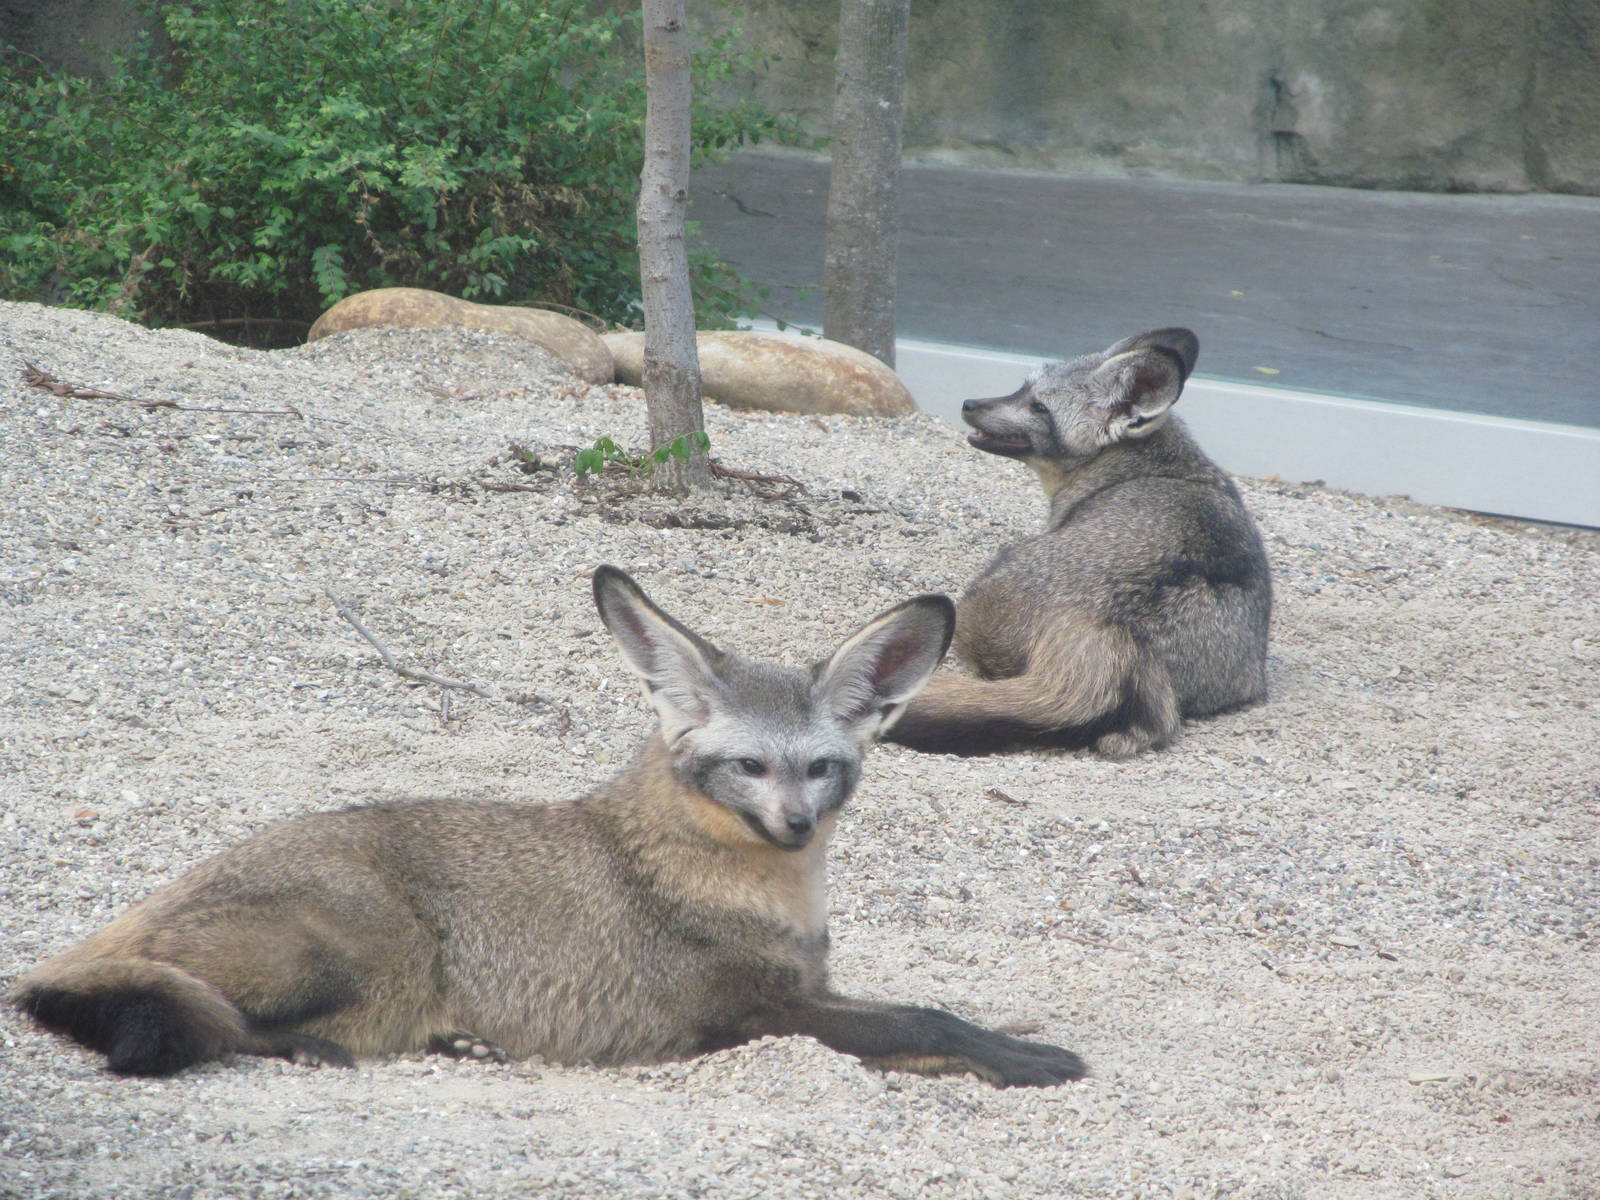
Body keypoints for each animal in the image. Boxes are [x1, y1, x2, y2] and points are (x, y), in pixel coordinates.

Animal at [9, 566, 1085, 1088]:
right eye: (748, 765)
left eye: (820, 769)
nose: (792, 823)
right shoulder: (757, 1013)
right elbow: (926, 1018)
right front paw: (1023, 1059)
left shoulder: (806, 993)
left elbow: (932, 1020)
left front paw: (1012, 1045)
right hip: (352, 952)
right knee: (218, 1023)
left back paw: (461, 1044)